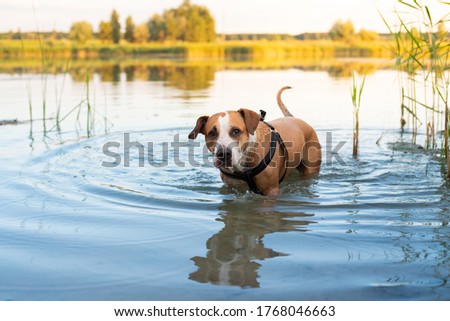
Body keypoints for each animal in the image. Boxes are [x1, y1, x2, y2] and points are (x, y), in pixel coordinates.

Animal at [188, 85, 322, 195]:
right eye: (212, 133)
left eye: (236, 131)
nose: (223, 154)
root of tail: (295, 118)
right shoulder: (231, 188)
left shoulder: (271, 191)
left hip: (311, 167)